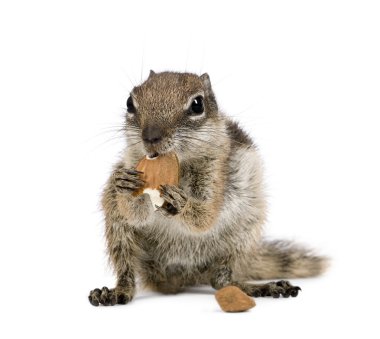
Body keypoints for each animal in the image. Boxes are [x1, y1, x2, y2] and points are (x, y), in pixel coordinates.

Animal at [88, 70, 326, 306]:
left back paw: (259, 287)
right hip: (118, 230)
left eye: (197, 105)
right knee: (127, 270)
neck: (179, 166)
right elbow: (135, 214)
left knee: (222, 280)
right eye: (130, 103)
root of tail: (181, 278)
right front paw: (125, 185)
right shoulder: (131, 163)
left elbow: (205, 217)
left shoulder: (216, 174)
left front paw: (181, 203)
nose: (150, 137)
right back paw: (117, 291)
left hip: (242, 235)